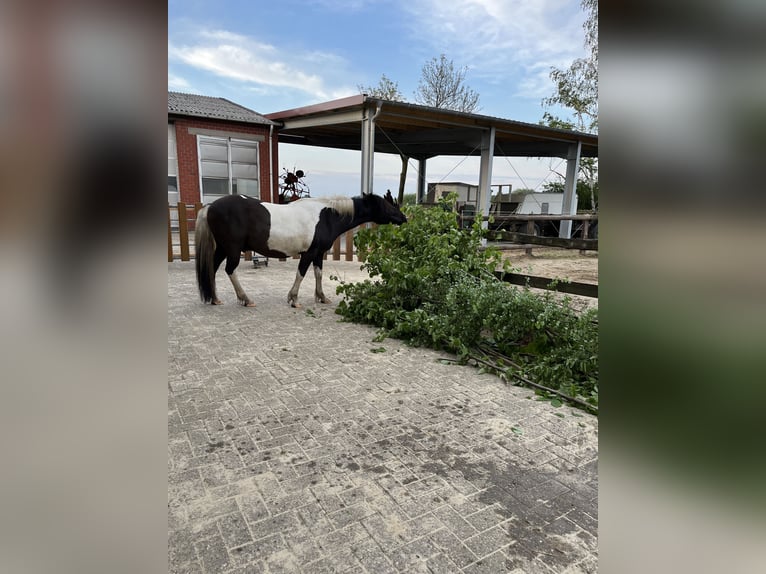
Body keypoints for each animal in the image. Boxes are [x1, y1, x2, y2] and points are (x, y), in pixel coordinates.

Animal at [195, 194, 408, 308]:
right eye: (387, 205)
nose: (403, 218)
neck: (327, 216)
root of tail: (210, 207)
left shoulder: (319, 254)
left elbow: (318, 274)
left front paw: (322, 297)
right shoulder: (309, 253)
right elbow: (301, 274)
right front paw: (294, 299)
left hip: (223, 249)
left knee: (212, 268)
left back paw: (215, 299)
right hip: (232, 249)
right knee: (230, 270)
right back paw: (245, 299)